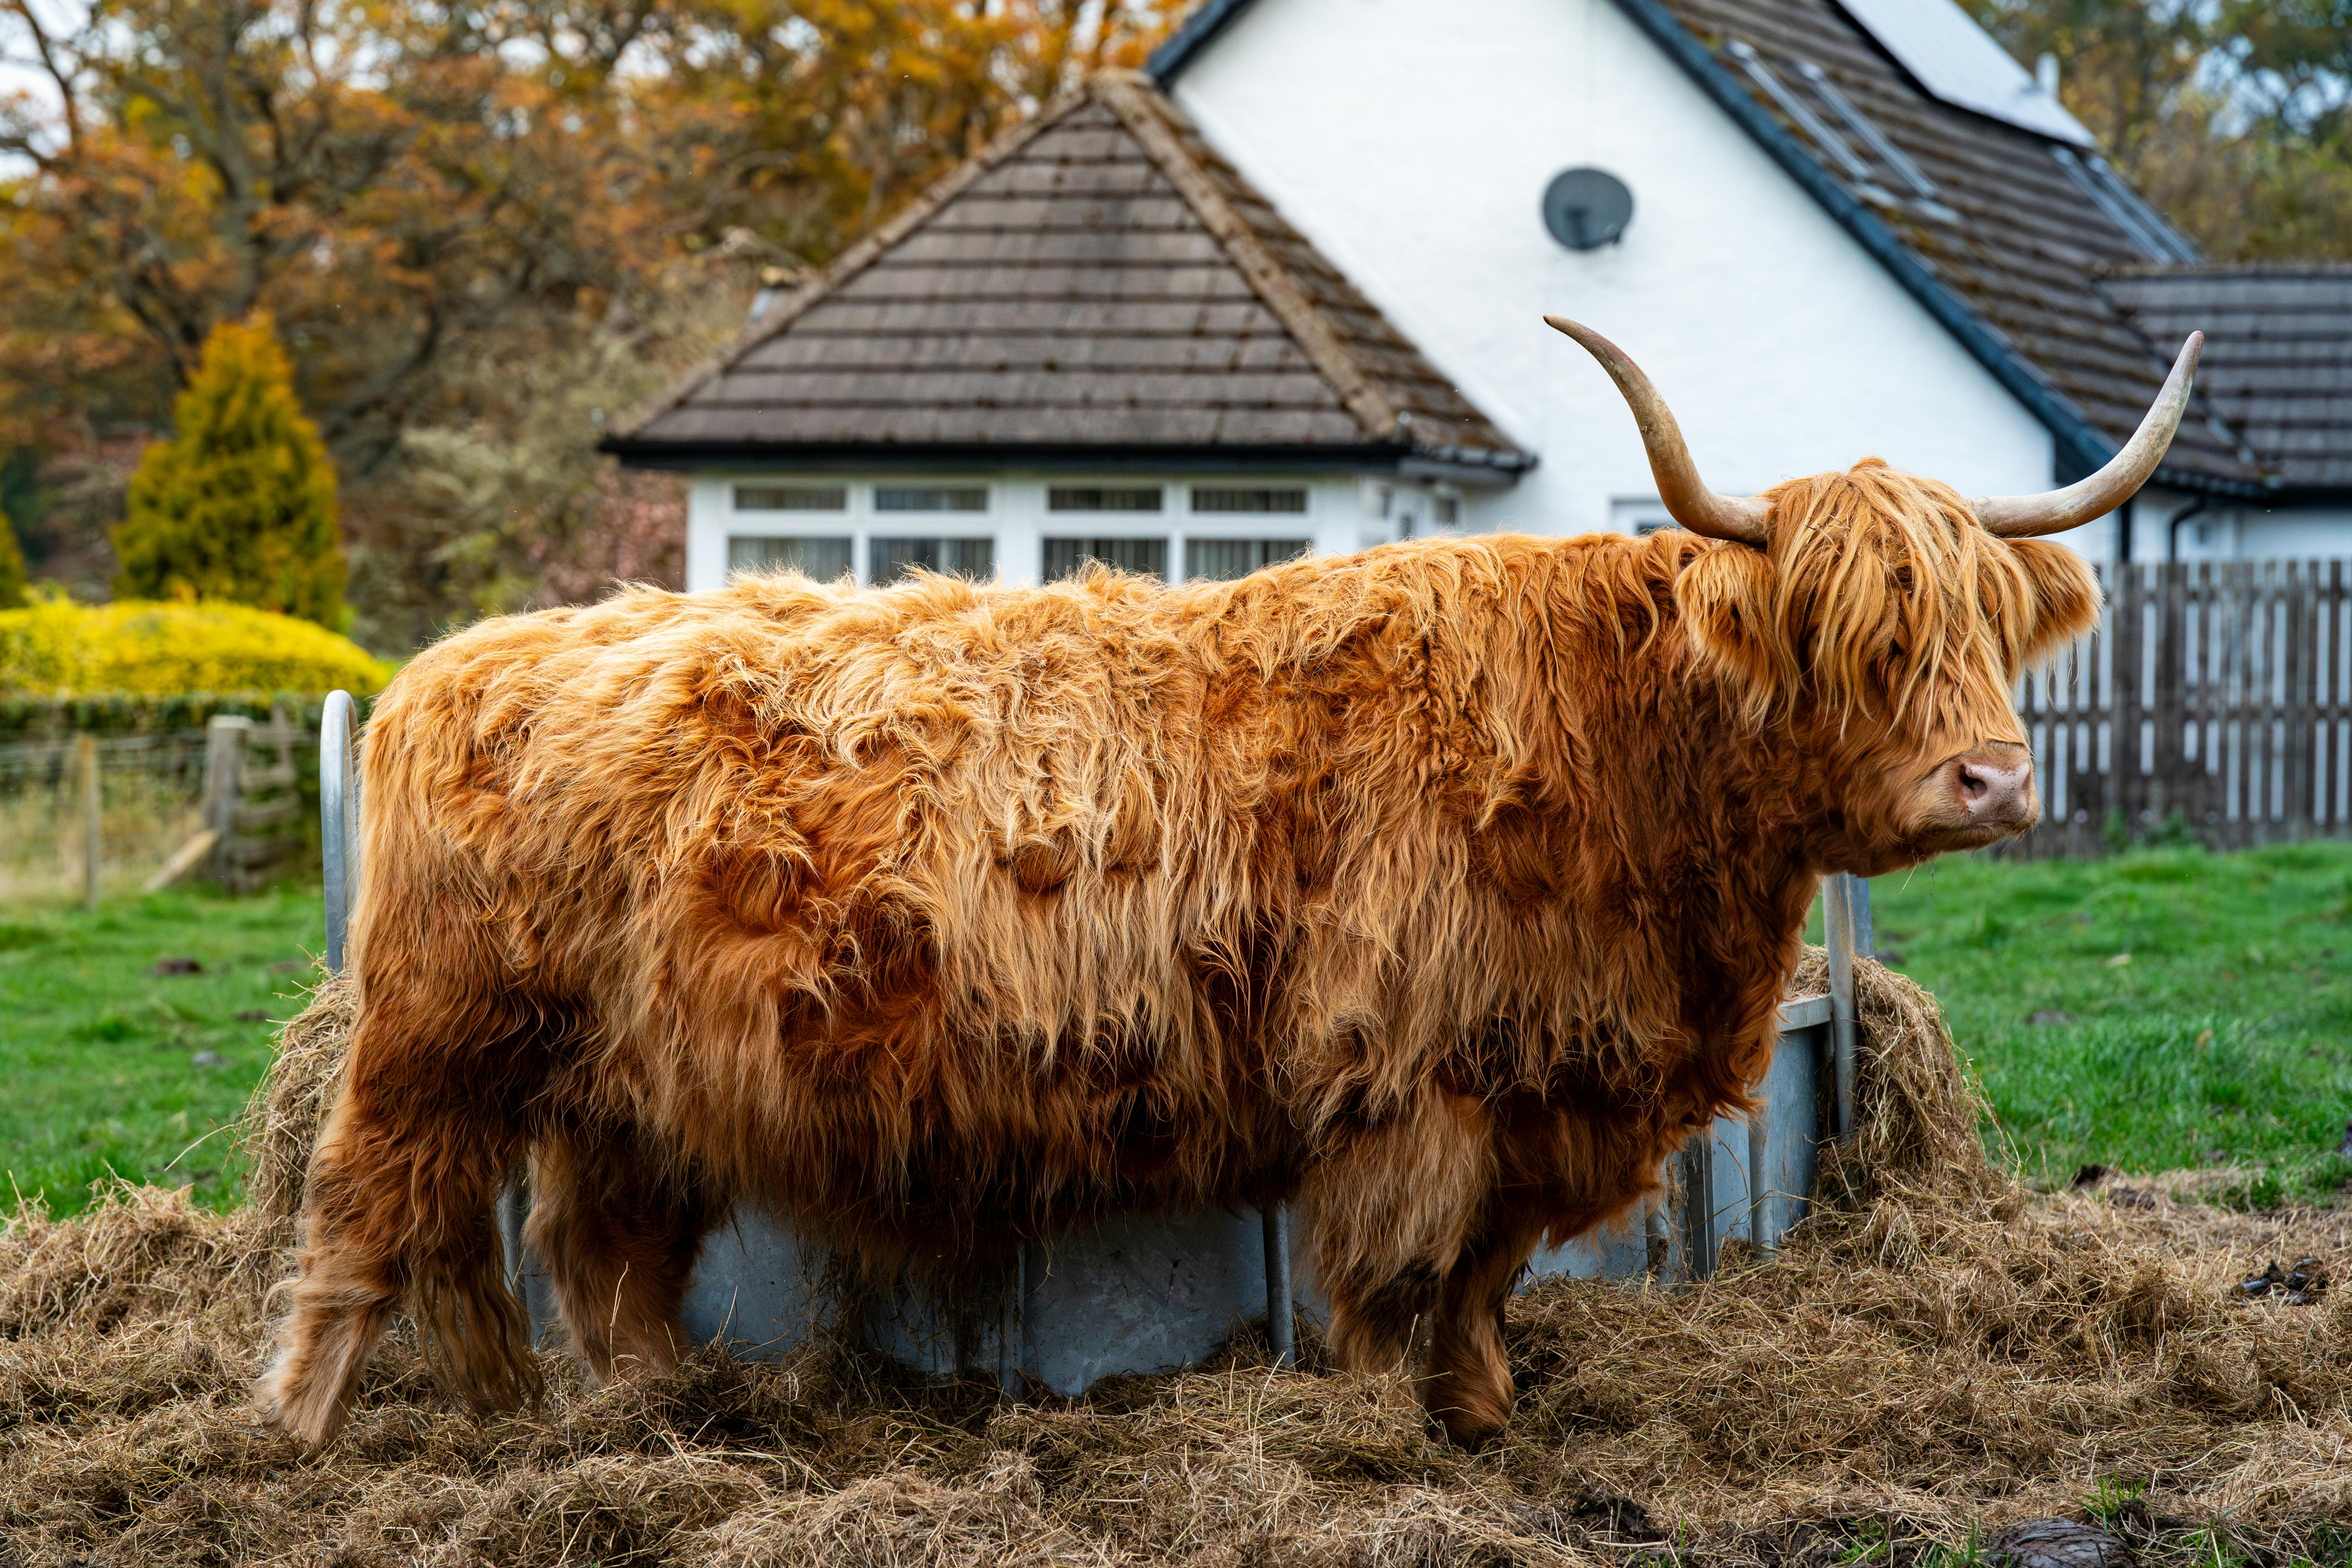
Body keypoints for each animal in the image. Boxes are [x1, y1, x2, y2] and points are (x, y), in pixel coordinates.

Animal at [256, 319, 2200, 1452]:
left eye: (1985, 628)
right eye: (1851, 633)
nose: (1991, 778)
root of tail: (457, 658)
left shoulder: (1532, 1077)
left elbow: (1485, 1278)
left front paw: (1483, 1422)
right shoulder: (1406, 1079)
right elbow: (1387, 1278)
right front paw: (1377, 1446)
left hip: (624, 1072)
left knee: (586, 1248)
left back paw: (622, 1418)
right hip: (438, 1033)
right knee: (370, 1211)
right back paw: (302, 1433)